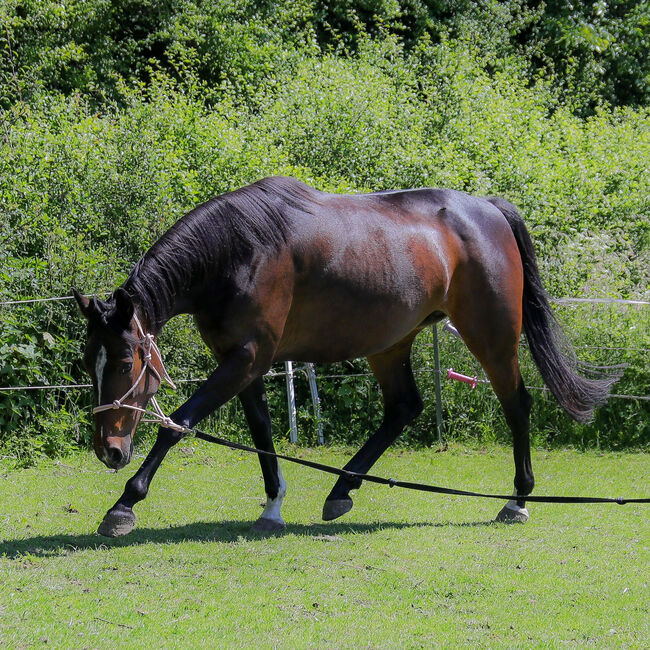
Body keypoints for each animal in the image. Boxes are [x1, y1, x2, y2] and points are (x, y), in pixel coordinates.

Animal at [73, 175, 616, 536]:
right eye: (87, 362)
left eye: (124, 363)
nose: (108, 450)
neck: (239, 251)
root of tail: (488, 207)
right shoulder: (244, 362)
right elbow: (262, 433)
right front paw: (272, 506)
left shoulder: (246, 358)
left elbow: (178, 423)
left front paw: (124, 505)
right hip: (390, 343)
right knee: (404, 408)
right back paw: (341, 491)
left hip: (492, 337)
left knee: (516, 404)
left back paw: (518, 500)